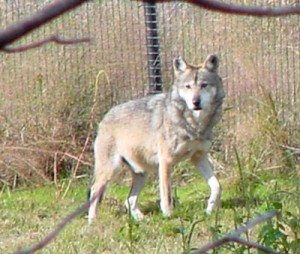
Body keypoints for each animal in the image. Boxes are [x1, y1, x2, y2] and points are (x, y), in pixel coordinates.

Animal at [88, 54, 225, 224]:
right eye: (188, 86)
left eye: (204, 85)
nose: (195, 102)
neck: (193, 123)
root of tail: (105, 117)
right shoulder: (166, 161)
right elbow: (166, 195)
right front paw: (169, 216)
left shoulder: (198, 157)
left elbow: (217, 186)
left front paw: (210, 208)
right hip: (112, 170)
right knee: (94, 191)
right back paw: (92, 221)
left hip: (141, 173)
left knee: (129, 200)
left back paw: (141, 219)